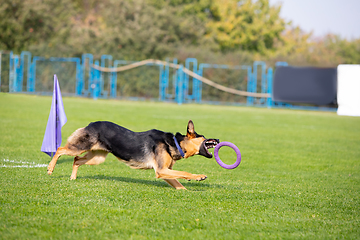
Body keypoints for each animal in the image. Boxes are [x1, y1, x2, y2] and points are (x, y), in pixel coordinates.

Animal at [46, 120, 218, 189]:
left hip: (96, 157)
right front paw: (198, 177)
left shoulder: (164, 172)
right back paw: (50, 168)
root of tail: (91, 124)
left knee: (76, 160)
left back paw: (72, 178)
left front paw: (186, 191)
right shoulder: (161, 170)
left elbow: (179, 184)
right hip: (81, 147)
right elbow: (184, 172)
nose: (218, 139)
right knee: (60, 149)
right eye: (204, 136)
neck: (175, 143)